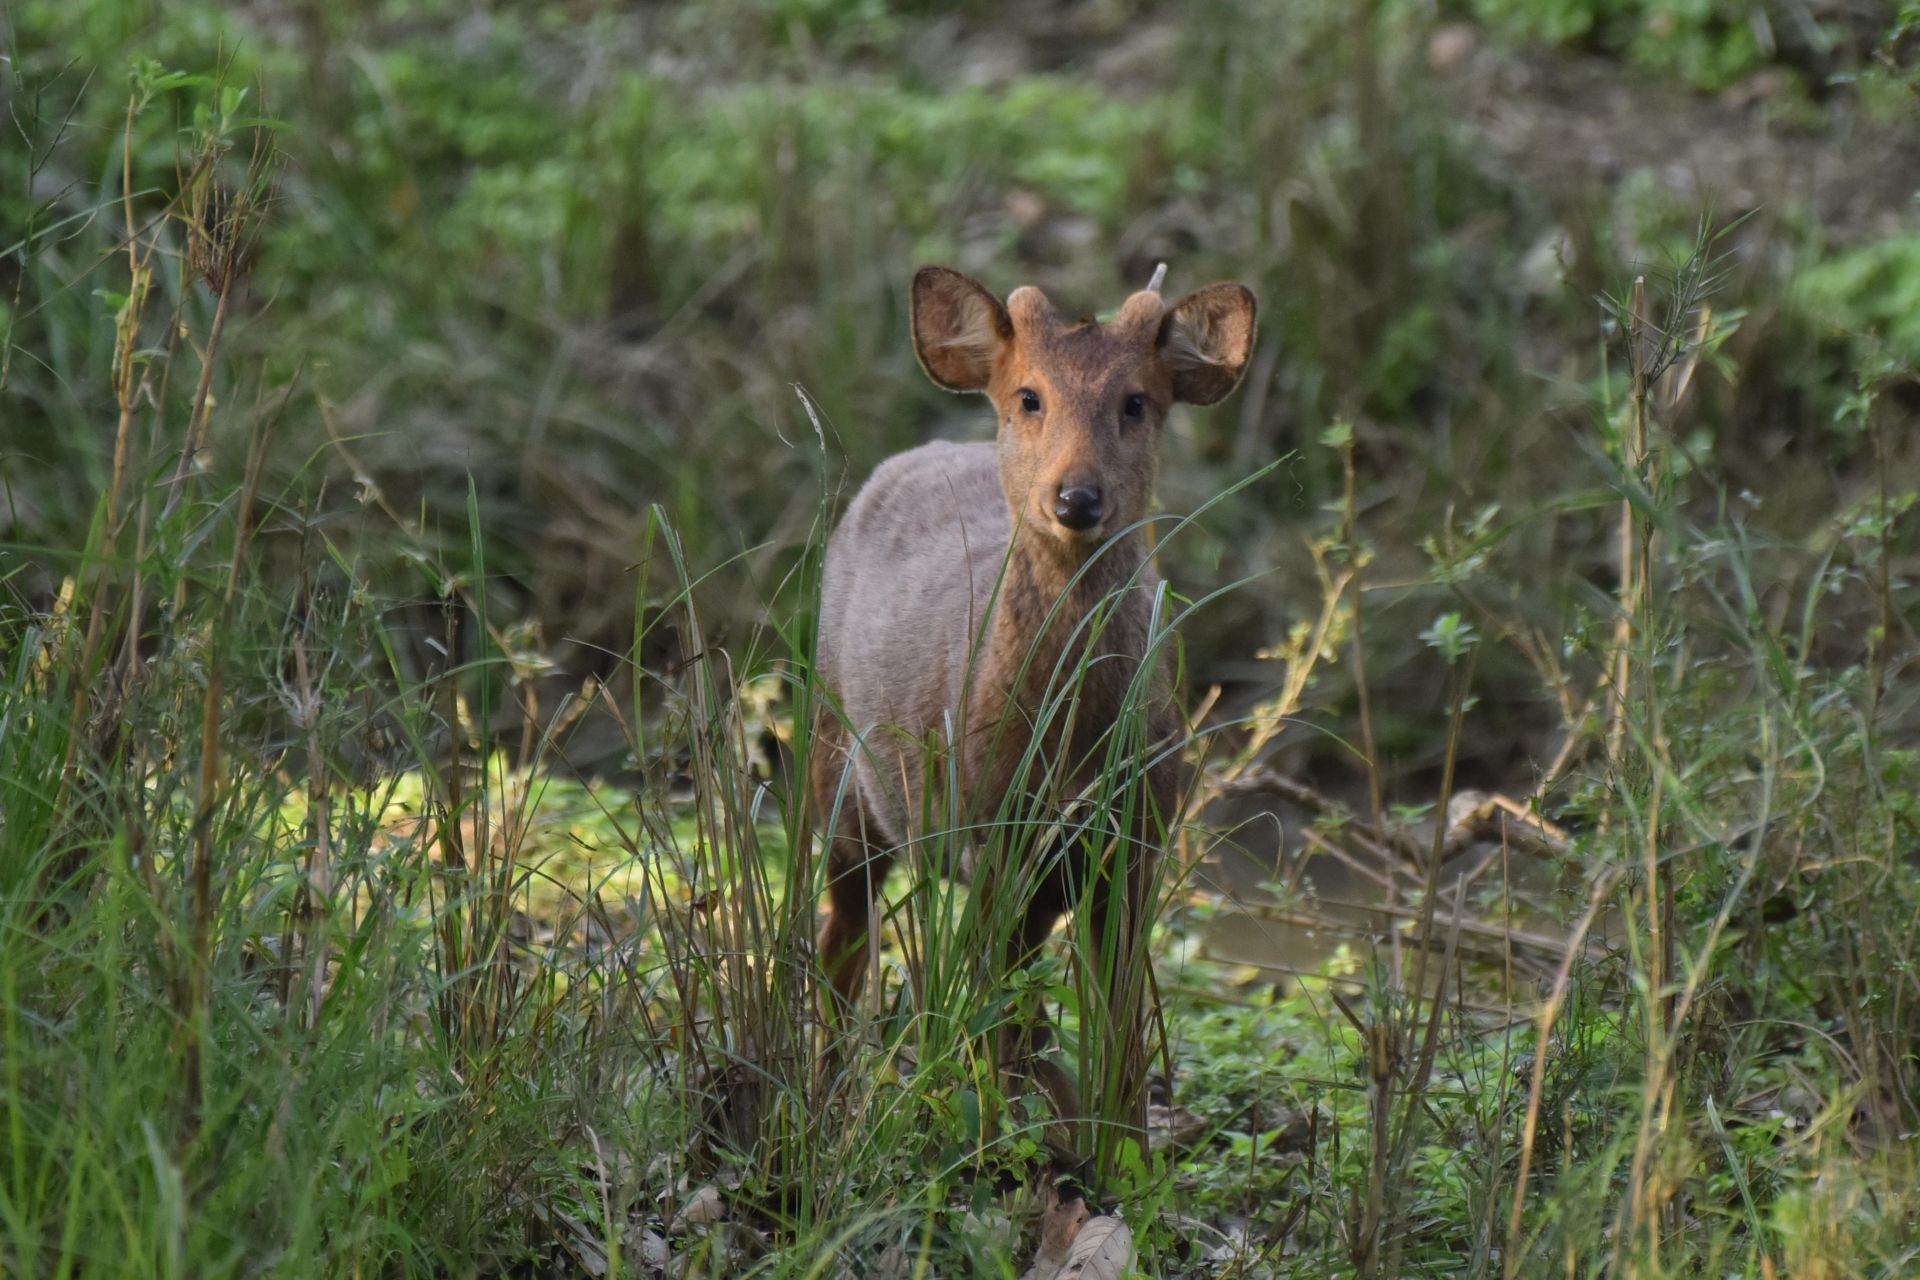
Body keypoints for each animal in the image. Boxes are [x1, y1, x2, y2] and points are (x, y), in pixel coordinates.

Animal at [810, 262, 1259, 1143]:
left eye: (1136, 401)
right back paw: (823, 1095)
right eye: (1029, 396)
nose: (1075, 499)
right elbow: (1001, 1022)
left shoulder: (1138, 838)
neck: (1067, 740)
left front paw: (1119, 1152)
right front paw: (1008, 1147)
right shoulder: (988, 830)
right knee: (842, 936)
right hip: (836, 758)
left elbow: (1117, 1032)